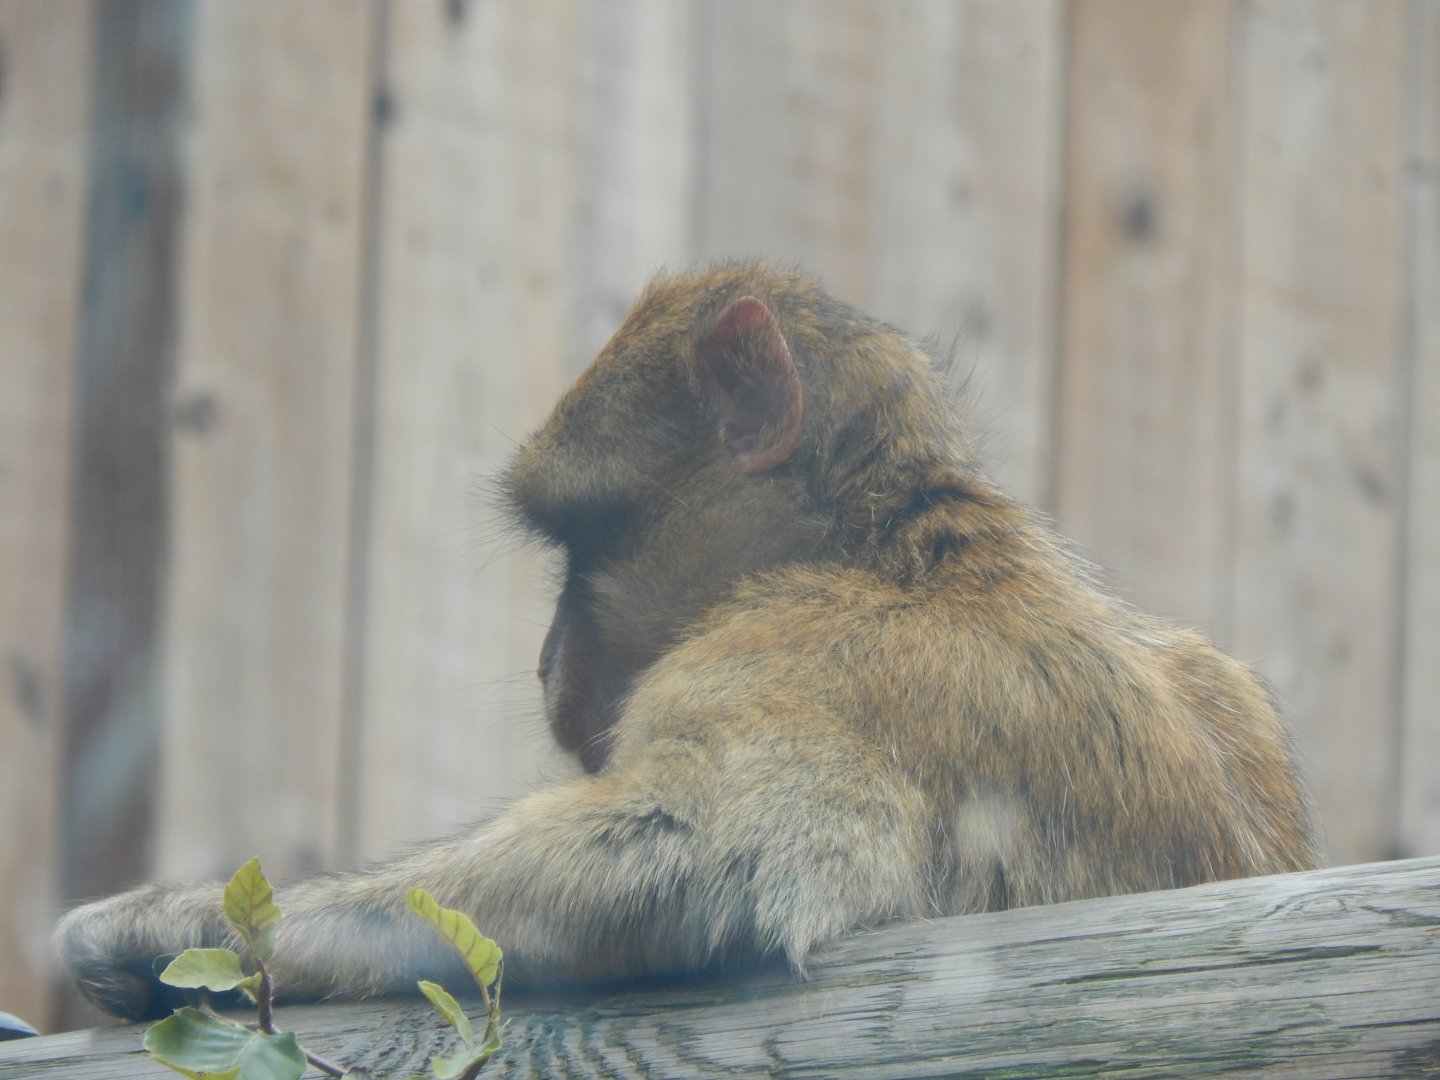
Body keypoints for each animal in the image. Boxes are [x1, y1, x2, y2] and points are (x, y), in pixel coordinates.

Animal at [57, 262, 1316, 1022]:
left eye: (582, 540)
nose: (548, 658)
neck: (901, 552)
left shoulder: (787, 653)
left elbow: (698, 854)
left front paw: (173, 929)